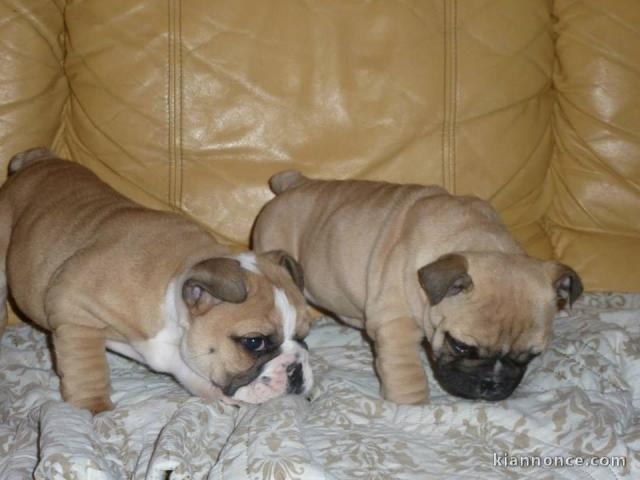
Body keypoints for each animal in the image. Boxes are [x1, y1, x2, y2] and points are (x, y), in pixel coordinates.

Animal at [0, 149, 312, 412]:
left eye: (304, 335)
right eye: (254, 342)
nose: (296, 369)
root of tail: (37, 159)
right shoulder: (73, 313)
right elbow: (86, 368)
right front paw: (94, 407)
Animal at [252, 171, 584, 404]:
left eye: (529, 356)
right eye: (461, 346)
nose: (491, 384)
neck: (475, 241)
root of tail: (294, 183)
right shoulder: (396, 325)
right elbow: (406, 372)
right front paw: (411, 406)